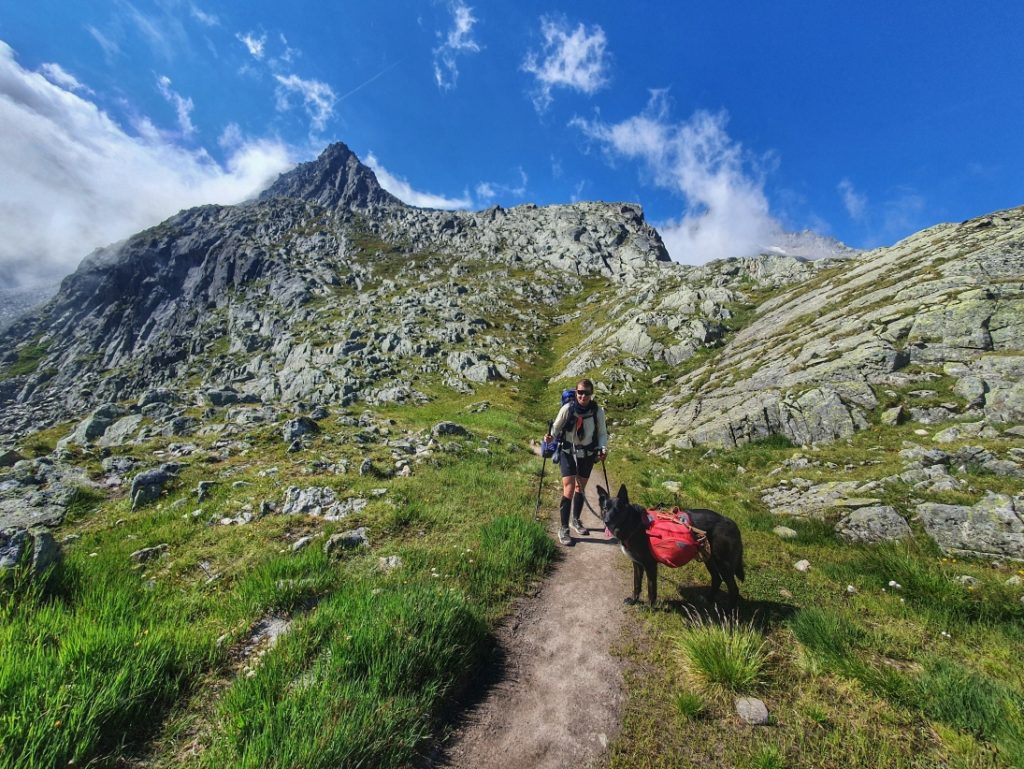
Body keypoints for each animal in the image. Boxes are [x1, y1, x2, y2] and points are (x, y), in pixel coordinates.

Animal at [593, 487, 745, 606]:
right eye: (605, 509)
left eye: (618, 510)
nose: (606, 521)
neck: (634, 524)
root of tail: (731, 522)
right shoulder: (637, 564)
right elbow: (637, 585)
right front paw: (634, 601)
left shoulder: (650, 565)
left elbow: (651, 588)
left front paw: (649, 608)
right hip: (709, 559)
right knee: (717, 579)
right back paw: (708, 599)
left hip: (724, 564)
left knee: (734, 589)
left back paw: (730, 613)